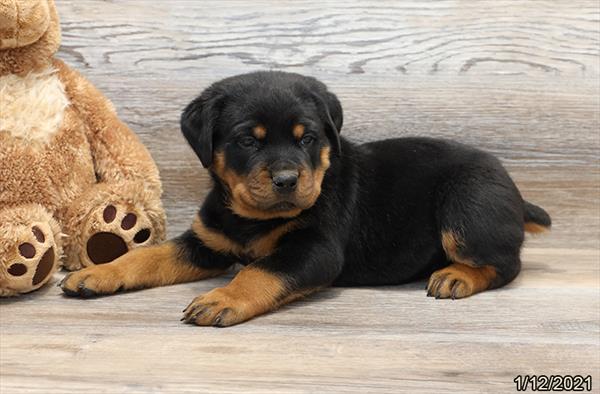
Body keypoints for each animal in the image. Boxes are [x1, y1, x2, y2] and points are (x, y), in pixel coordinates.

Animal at [58, 71, 552, 326]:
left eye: (307, 138)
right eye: (248, 141)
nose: (286, 179)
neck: (250, 217)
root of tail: (514, 192)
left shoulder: (314, 249)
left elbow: (260, 271)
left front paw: (222, 299)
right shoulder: (206, 242)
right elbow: (149, 256)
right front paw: (98, 273)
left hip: (466, 203)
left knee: (505, 263)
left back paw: (456, 277)